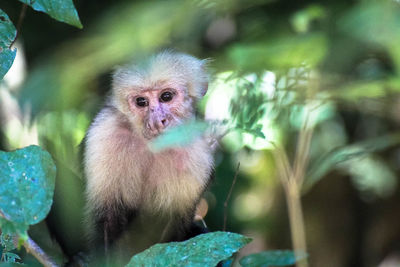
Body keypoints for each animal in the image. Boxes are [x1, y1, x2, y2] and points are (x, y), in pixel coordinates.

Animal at [83, 51, 216, 264]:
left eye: (166, 96)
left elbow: (174, 229)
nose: (157, 121)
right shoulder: (104, 132)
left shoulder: (198, 154)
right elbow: (107, 218)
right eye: (141, 102)